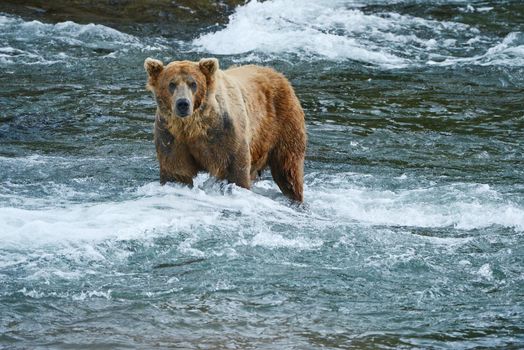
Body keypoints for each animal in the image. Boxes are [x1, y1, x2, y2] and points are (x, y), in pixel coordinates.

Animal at [143, 57, 308, 202]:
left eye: (193, 83)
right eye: (171, 84)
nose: (183, 103)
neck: (193, 127)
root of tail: (277, 74)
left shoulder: (225, 134)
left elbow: (234, 171)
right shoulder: (171, 137)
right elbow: (177, 172)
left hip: (283, 125)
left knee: (288, 171)